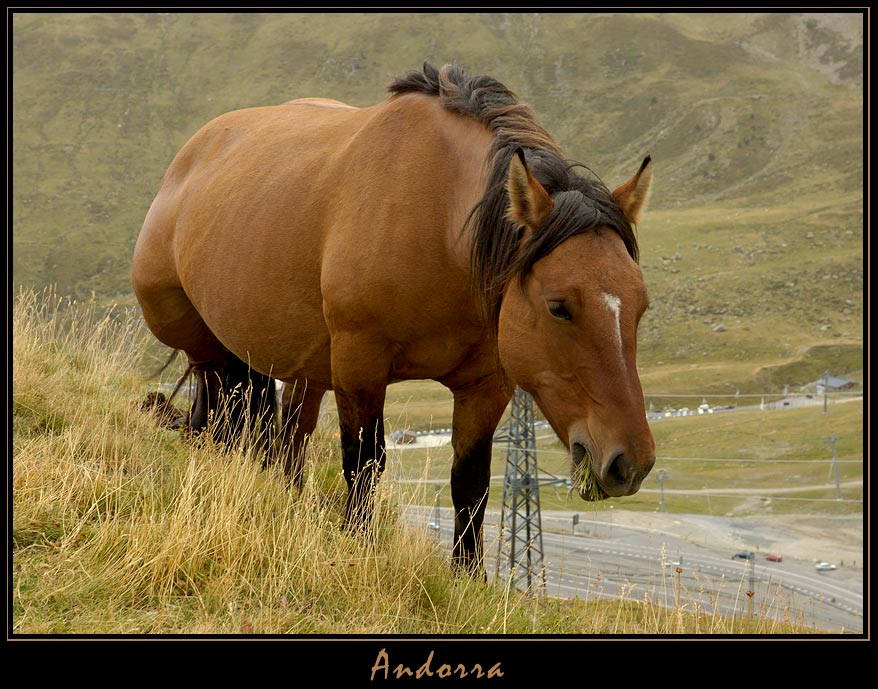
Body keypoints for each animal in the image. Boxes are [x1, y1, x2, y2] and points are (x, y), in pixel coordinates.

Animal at [129, 63, 652, 568]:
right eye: (558, 307)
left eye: (641, 307)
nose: (630, 462)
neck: (436, 218)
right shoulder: (360, 364)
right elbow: (363, 462)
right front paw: (357, 545)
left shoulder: (486, 385)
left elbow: (471, 484)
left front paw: (467, 576)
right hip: (207, 348)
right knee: (218, 415)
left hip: (302, 371)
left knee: (289, 439)